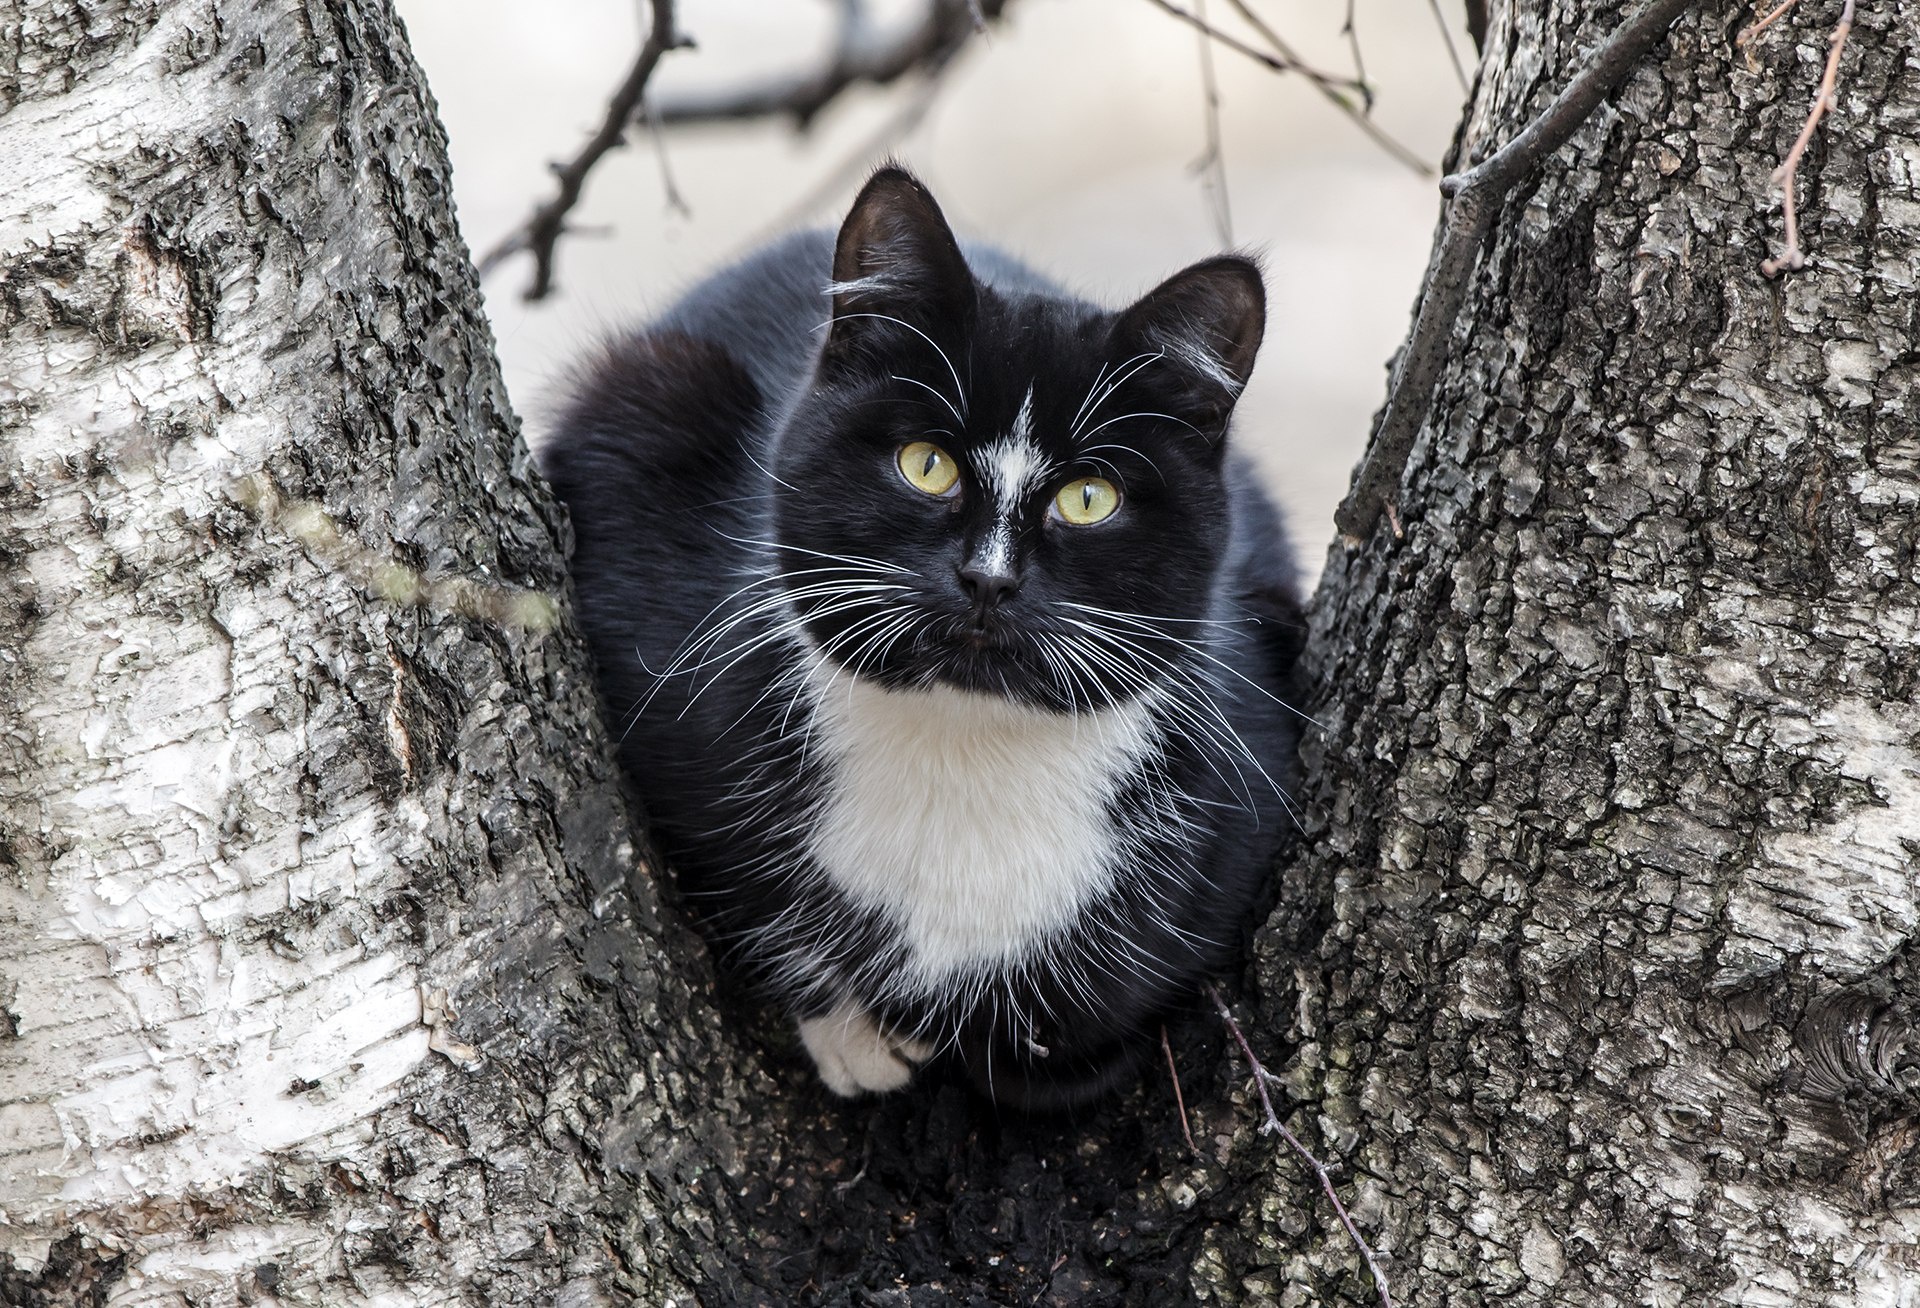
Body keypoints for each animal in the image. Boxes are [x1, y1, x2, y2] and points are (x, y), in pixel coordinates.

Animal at [541, 166, 1305, 1114]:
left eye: (1090, 497)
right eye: (925, 463)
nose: (987, 579)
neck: (961, 742)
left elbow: (1066, 1030)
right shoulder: (644, 473)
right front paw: (852, 1030)